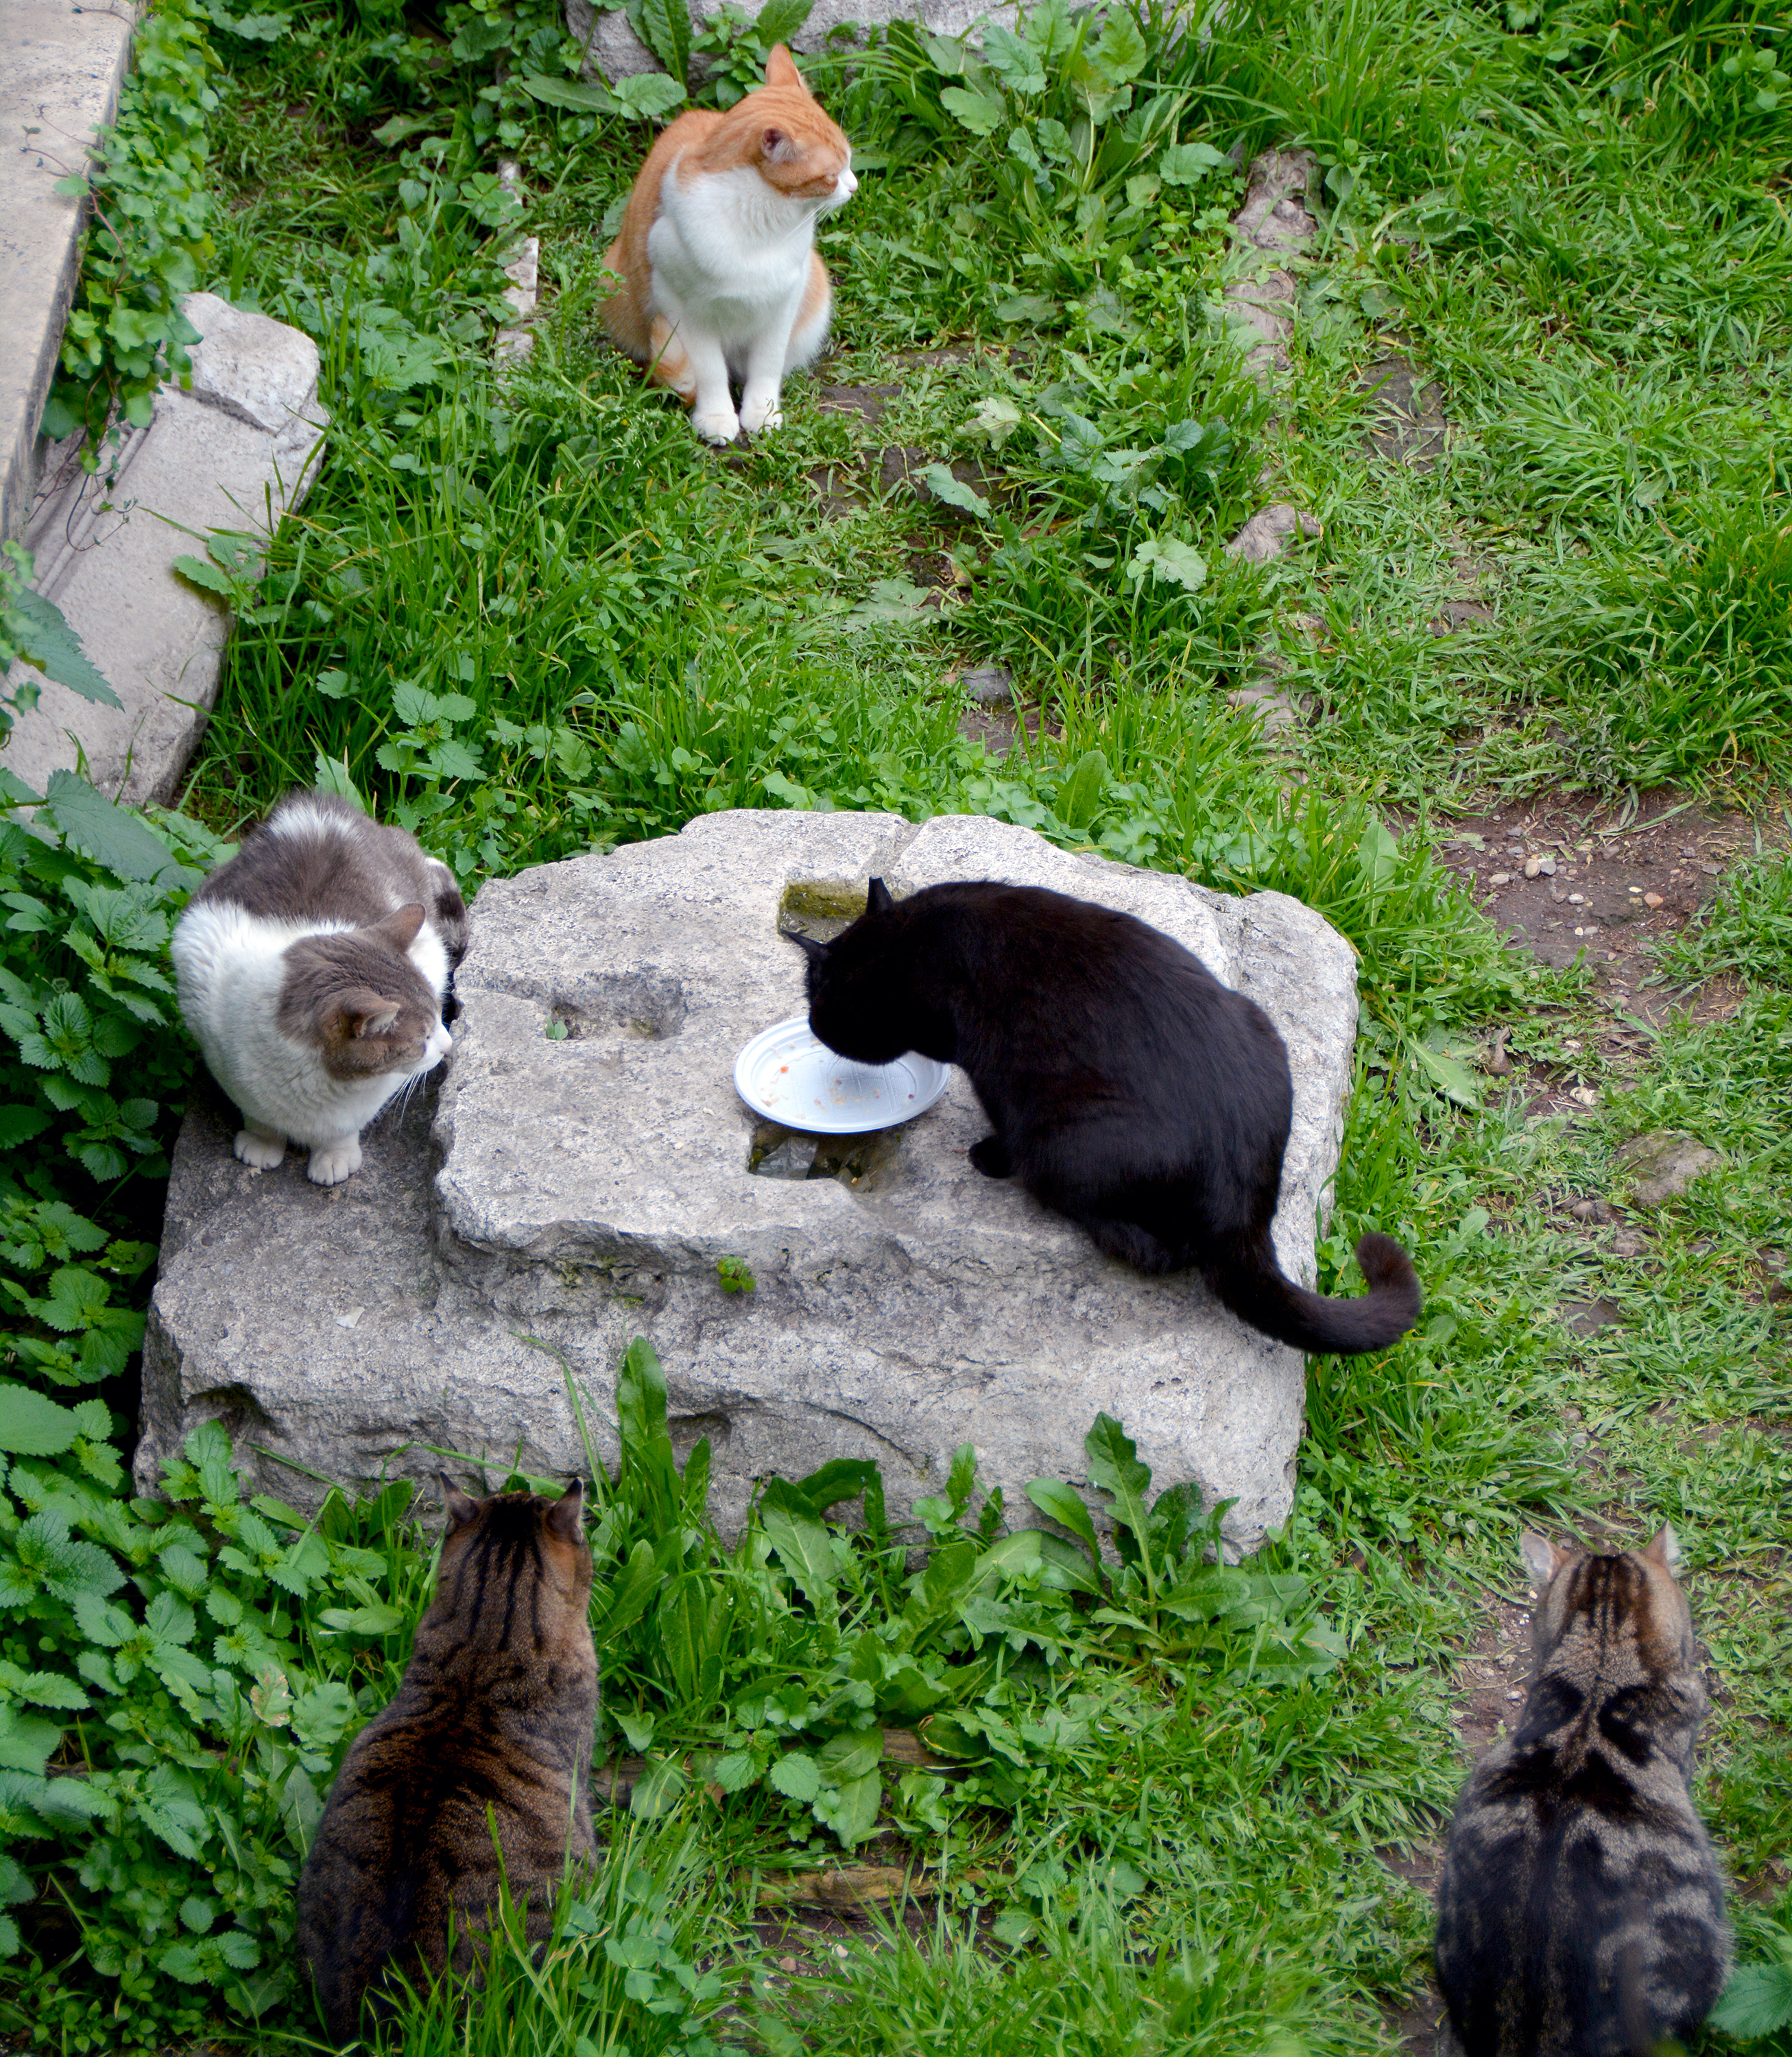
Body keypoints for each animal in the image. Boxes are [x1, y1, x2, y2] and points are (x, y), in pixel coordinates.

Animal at [601, 45, 856, 446]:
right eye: (832, 176)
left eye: (849, 163)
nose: (854, 186)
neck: (761, 220)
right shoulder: (685, 313)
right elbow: (709, 374)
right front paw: (717, 416)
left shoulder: (783, 301)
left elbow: (767, 366)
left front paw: (762, 412)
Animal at [790, 876, 1424, 1358]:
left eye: (816, 1002)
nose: (815, 1028)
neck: (913, 940)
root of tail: (1242, 1208)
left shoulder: (994, 1070)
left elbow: (999, 1125)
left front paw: (987, 1156)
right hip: (1261, 1026)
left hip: (1062, 1142)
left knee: (1143, 1244)